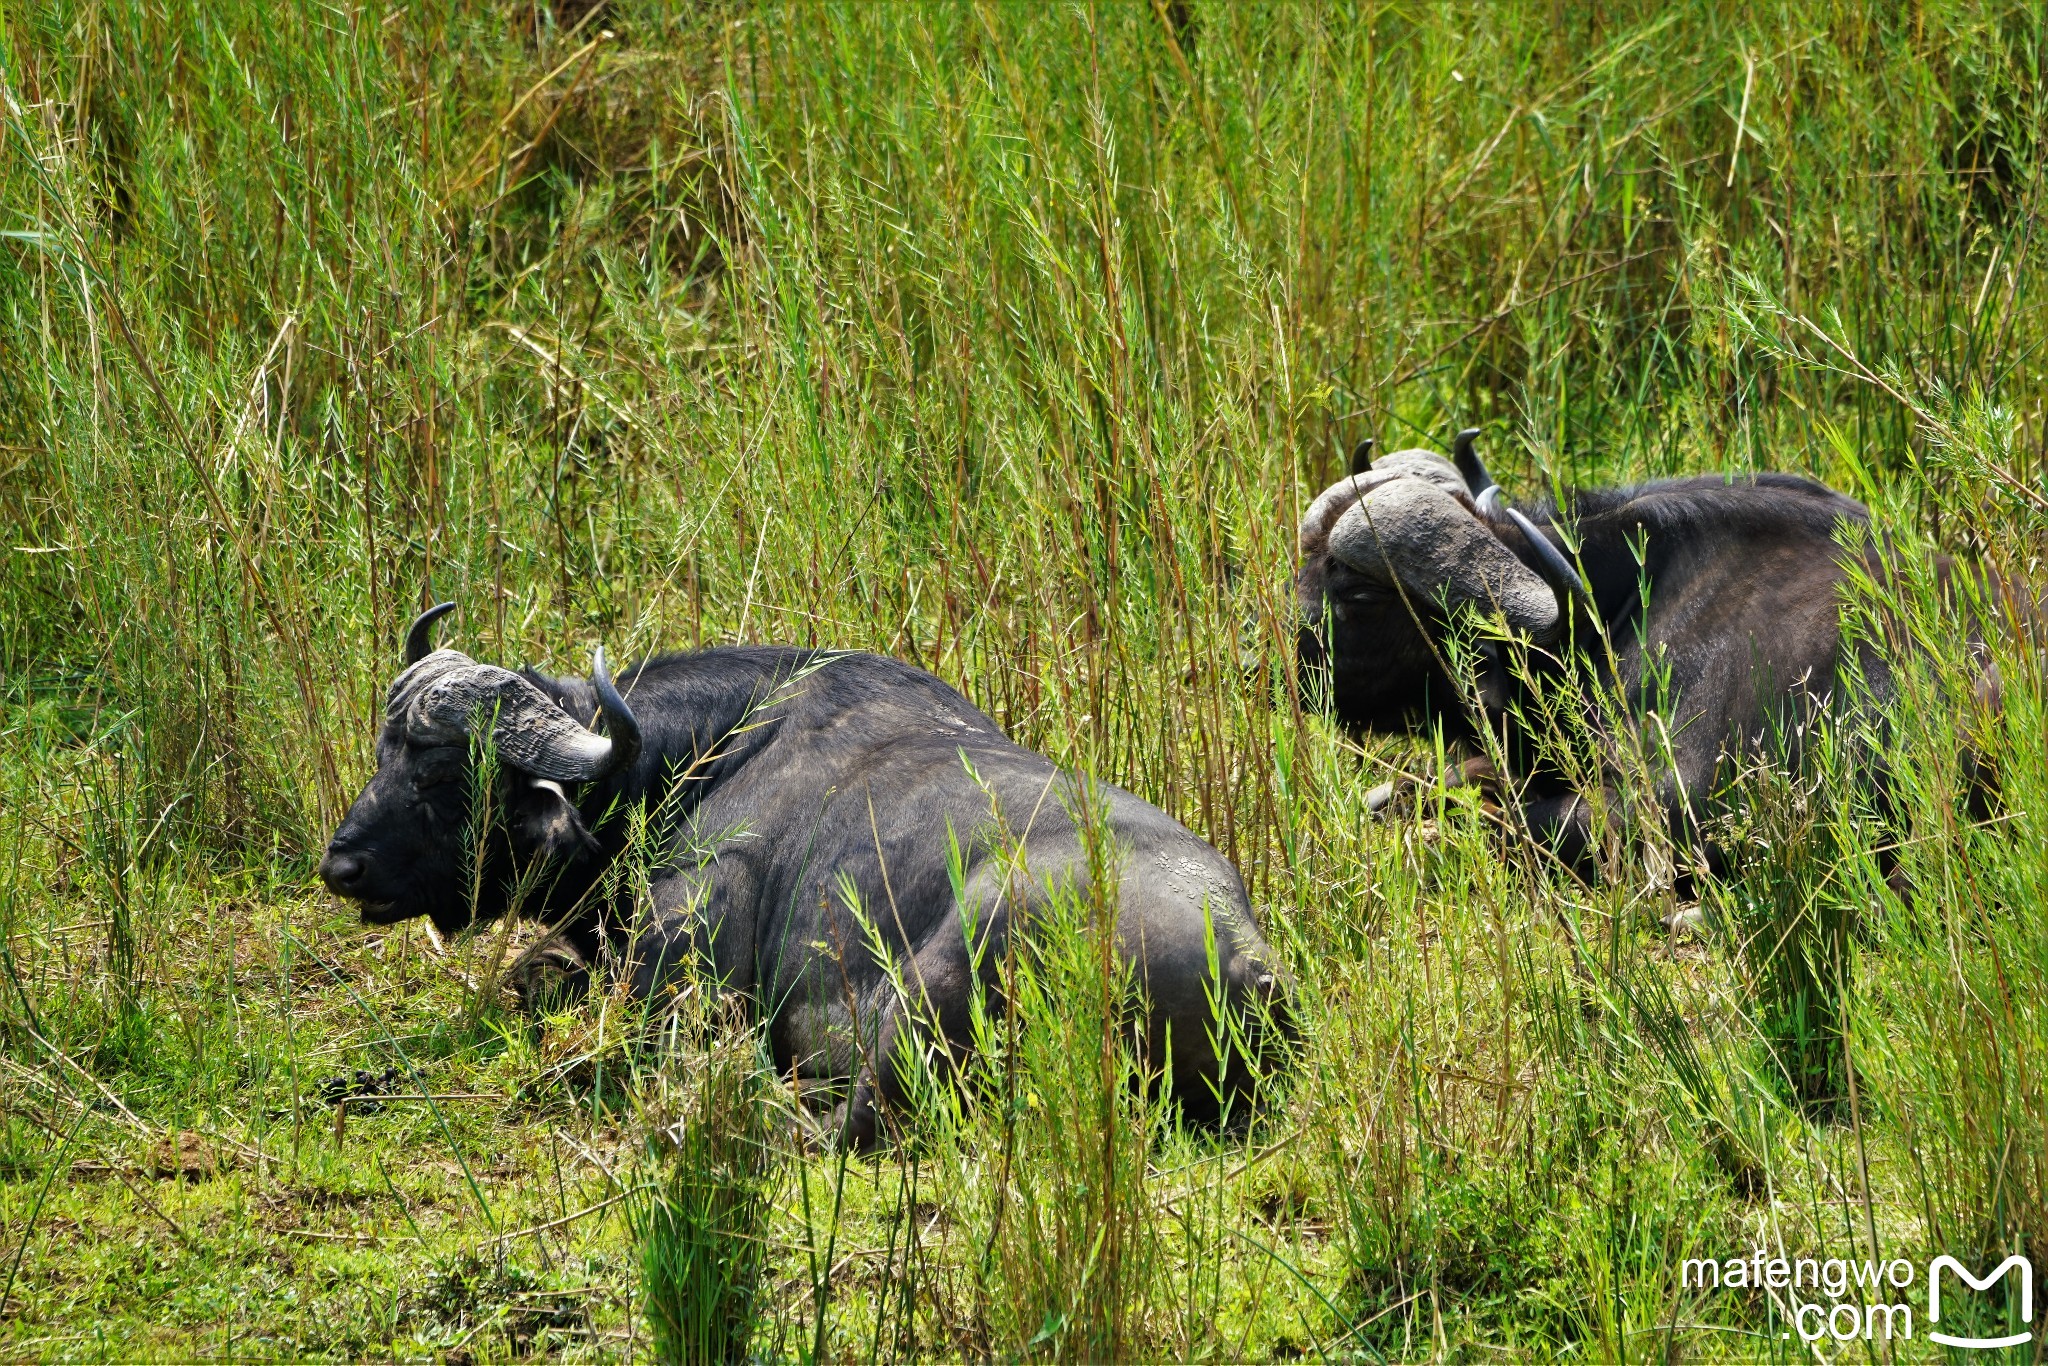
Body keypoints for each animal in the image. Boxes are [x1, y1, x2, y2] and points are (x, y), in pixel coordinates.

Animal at [319, 610, 1286, 1146]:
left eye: (448, 777)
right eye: (384, 752)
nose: (341, 865)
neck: (702, 758)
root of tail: (1243, 959)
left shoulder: (677, 977)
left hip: (929, 991)